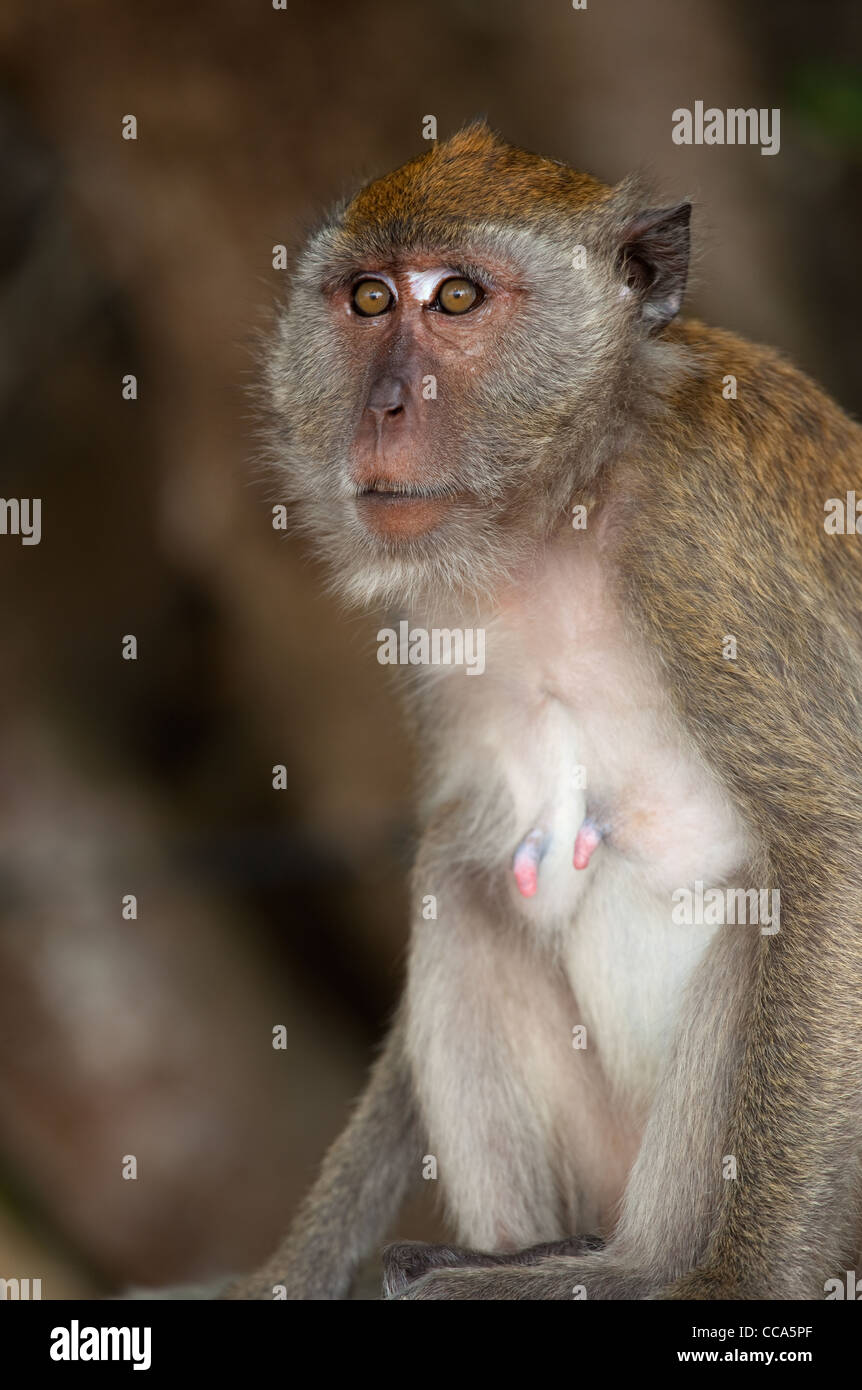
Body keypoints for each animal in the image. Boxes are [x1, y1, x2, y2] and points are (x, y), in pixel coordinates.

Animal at [224, 122, 862, 1299]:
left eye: (458, 297)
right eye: (369, 299)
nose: (384, 408)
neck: (565, 505)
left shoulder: (702, 538)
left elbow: (831, 847)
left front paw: (739, 1287)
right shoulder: (432, 616)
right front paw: (296, 1266)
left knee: (768, 899)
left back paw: (642, 1269)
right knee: (459, 873)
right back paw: (523, 1248)